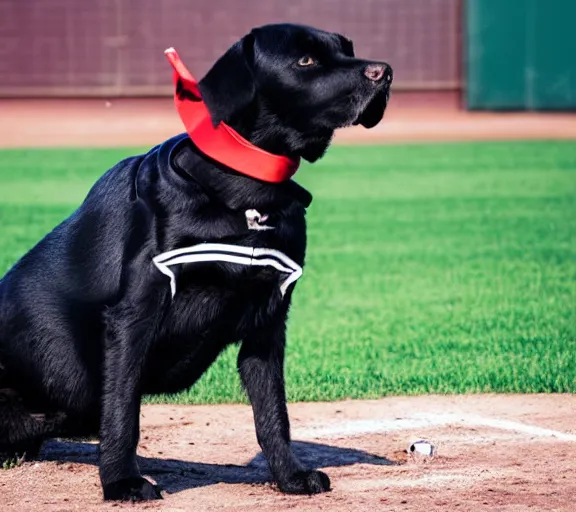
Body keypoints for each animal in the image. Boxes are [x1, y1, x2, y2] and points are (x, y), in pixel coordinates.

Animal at [0, 23, 392, 500]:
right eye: (306, 60)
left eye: (347, 48)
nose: (386, 71)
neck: (244, 193)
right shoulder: (134, 316)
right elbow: (123, 411)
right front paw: (121, 481)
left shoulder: (268, 320)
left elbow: (273, 416)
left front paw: (289, 476)